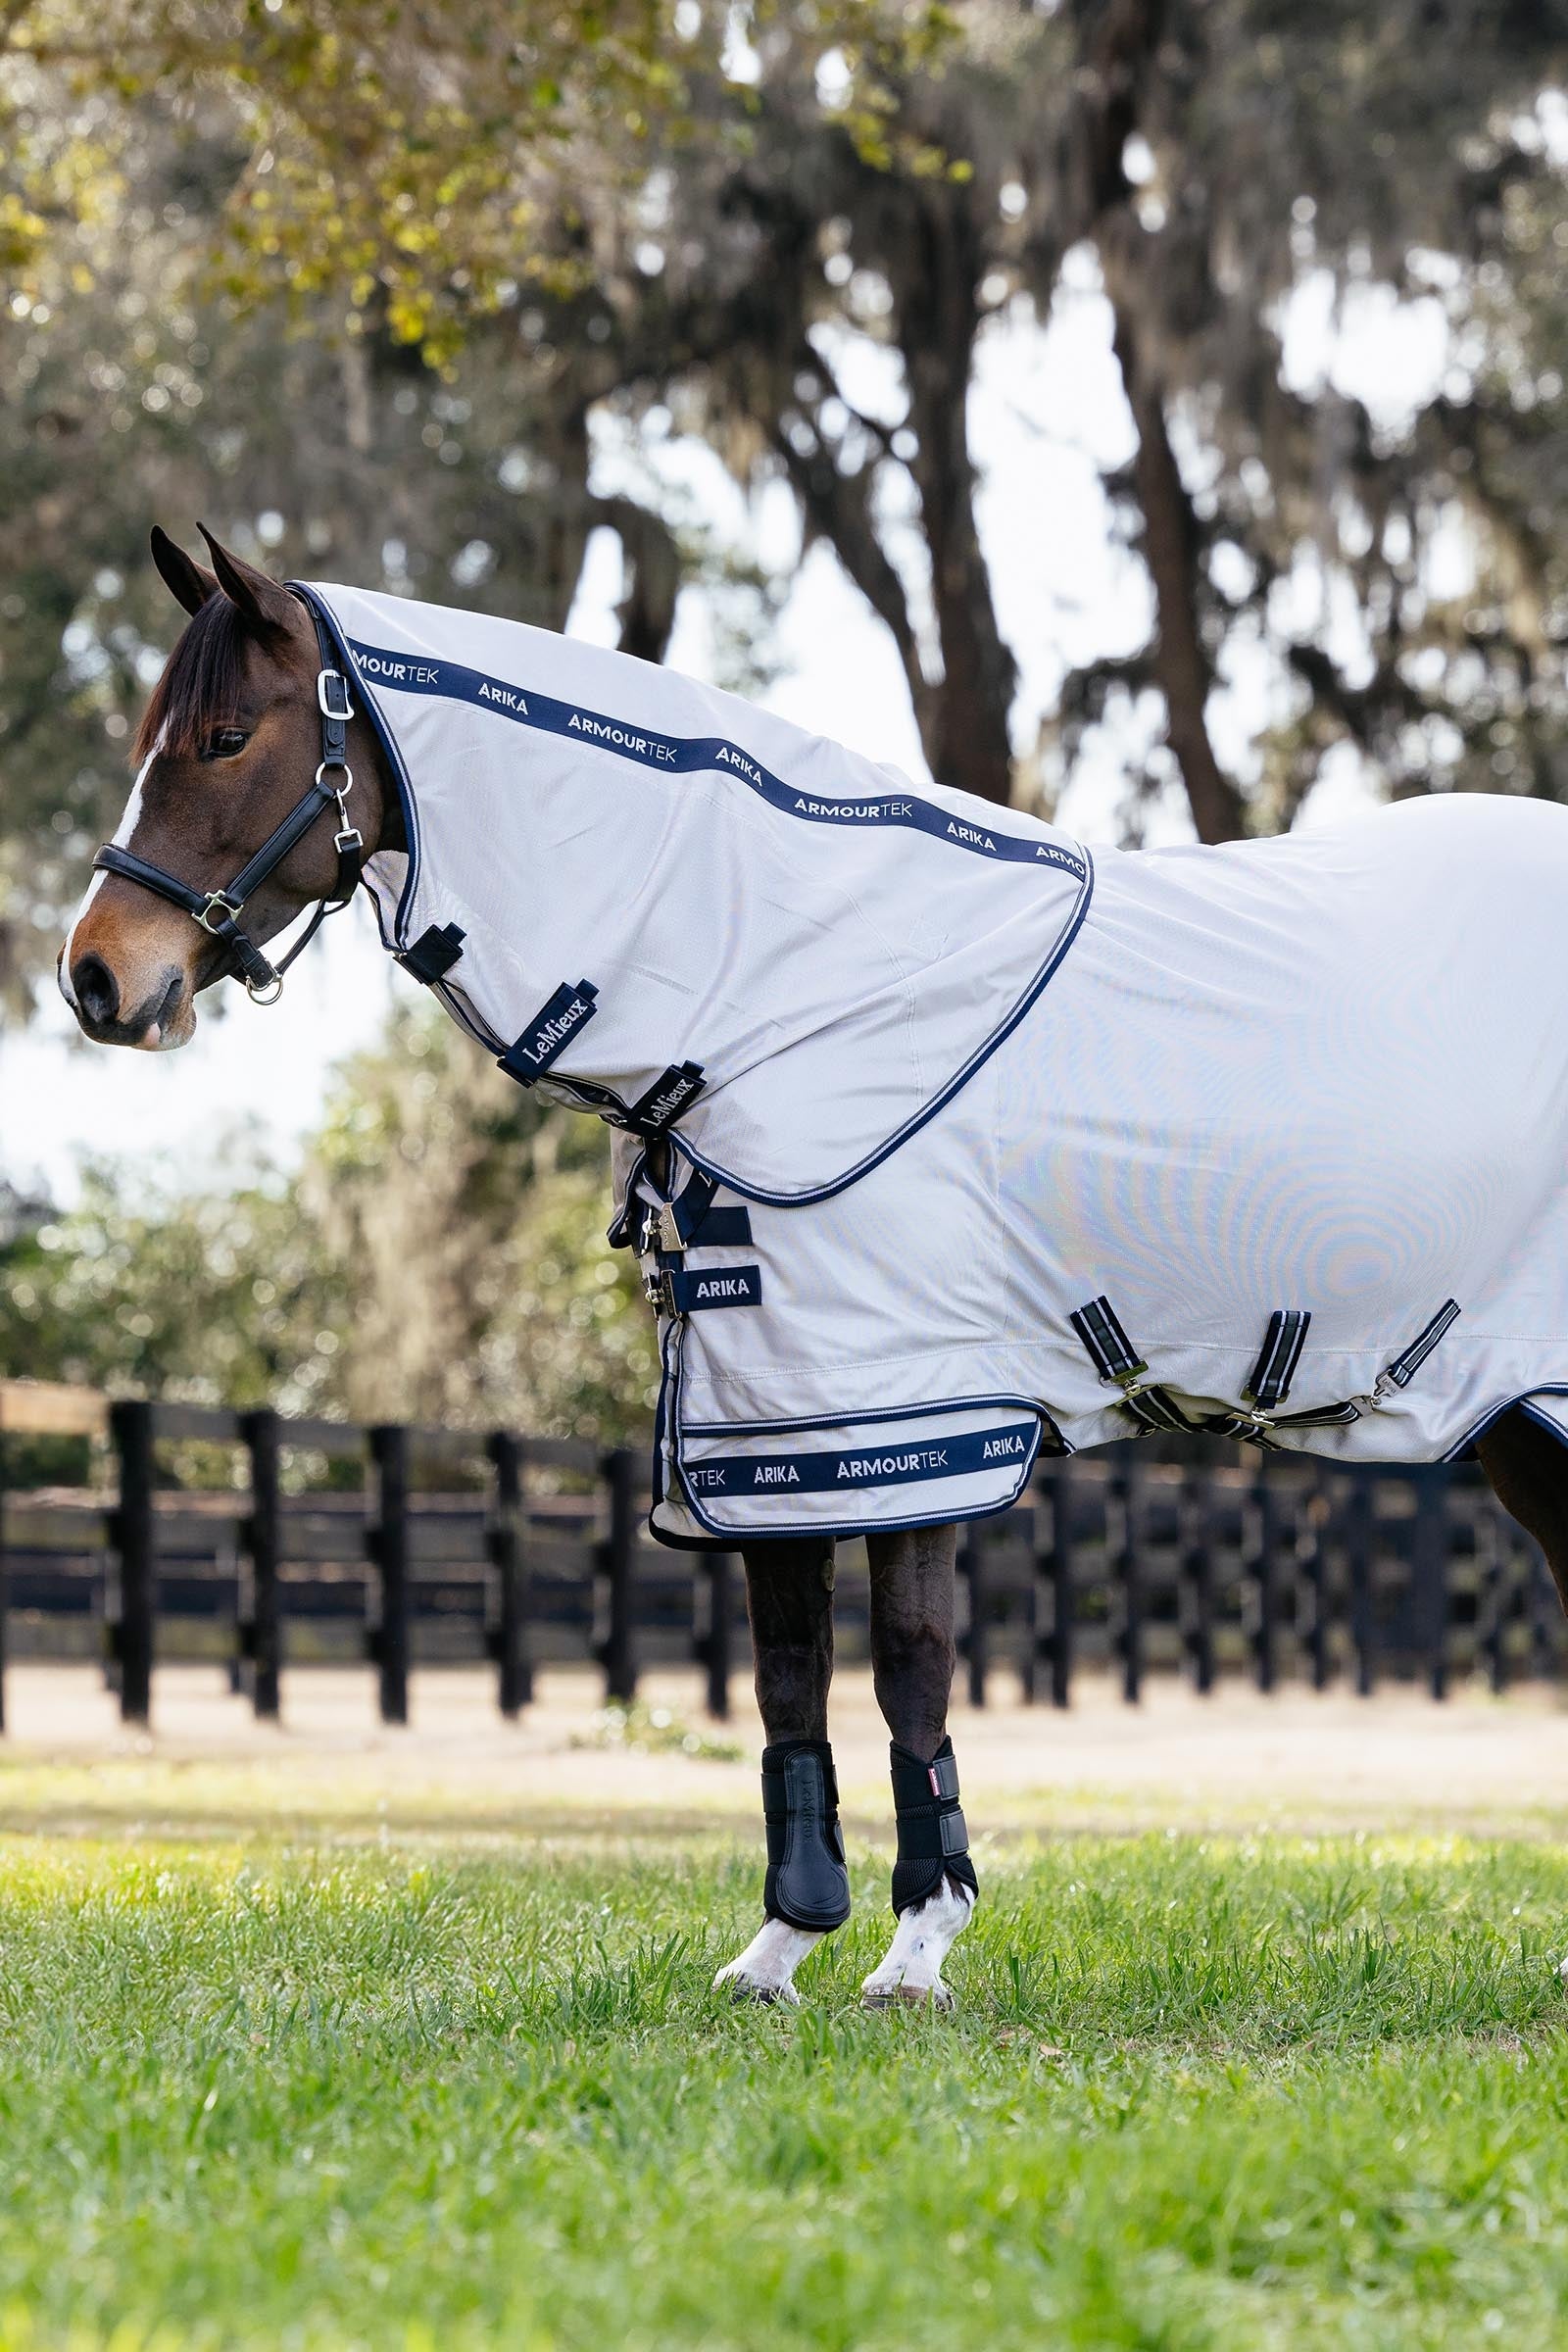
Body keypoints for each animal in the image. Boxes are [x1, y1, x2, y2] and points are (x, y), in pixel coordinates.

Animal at [59, 524, 1568, 2010]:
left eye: (223, 737)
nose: (94, 978)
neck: (801, 983)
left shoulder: (910, 1413)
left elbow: (908, 1671)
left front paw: (916, 1952)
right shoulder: (763, 1428)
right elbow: (790, 1678)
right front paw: (783, 1944)